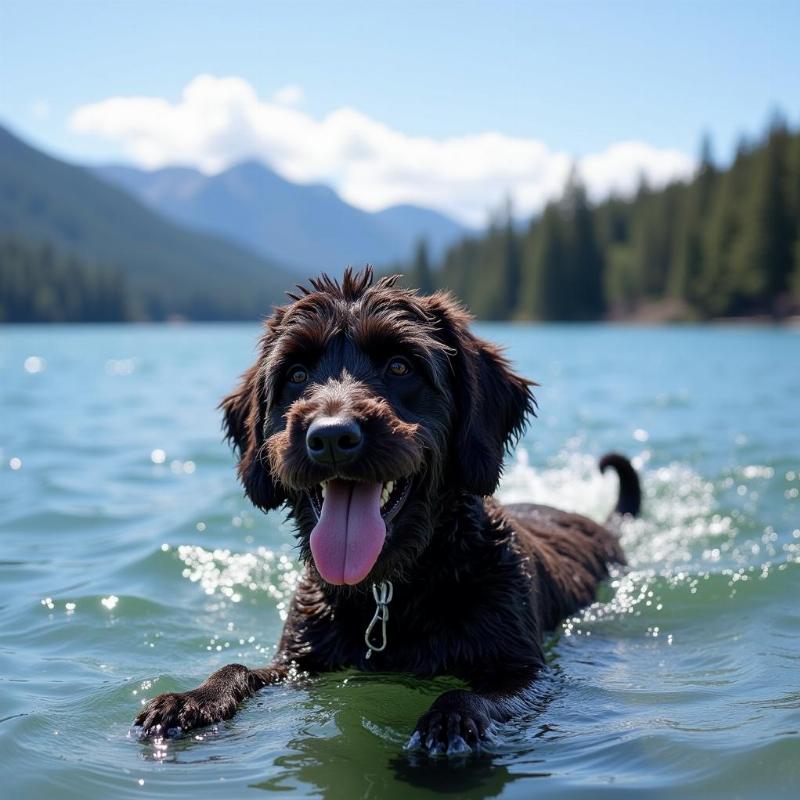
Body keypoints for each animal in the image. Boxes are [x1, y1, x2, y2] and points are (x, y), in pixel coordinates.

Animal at [134, 268, 640, 756]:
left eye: (400, 366)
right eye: (295, 374)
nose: (331, 436)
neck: (388, 595)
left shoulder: (527, 671)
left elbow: (471, 694)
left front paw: (448, 725)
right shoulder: (299, 663)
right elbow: (237, 666)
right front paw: (192, 699)